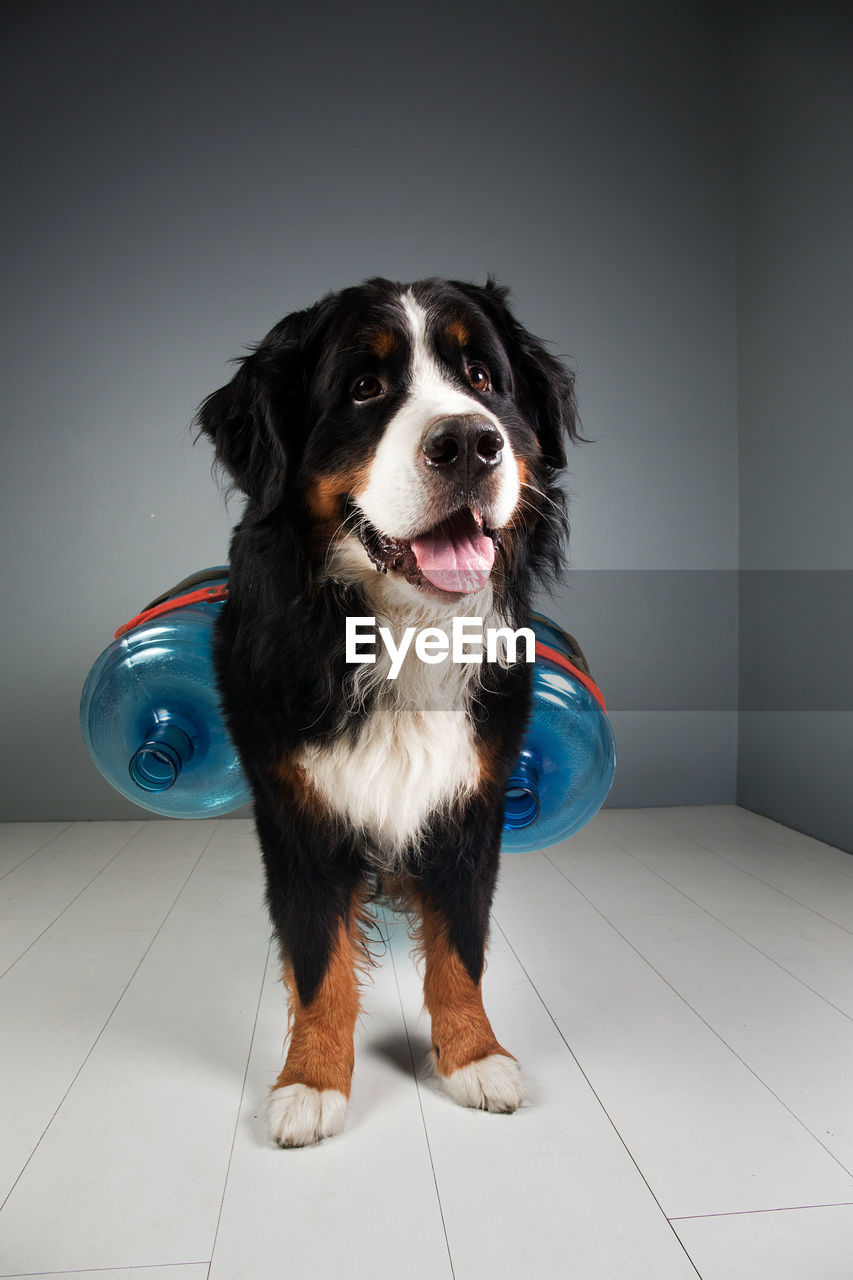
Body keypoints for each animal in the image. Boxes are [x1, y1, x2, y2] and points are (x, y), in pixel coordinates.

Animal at [194, 277, 578, 1152]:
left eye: (481, 377)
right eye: (364, 388)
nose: (468, 443)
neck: (403, 630)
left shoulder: (472, 802)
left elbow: (460, 947)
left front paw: (473, 1055)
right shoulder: (298, 814)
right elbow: (317, 961)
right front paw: (310, 1081)